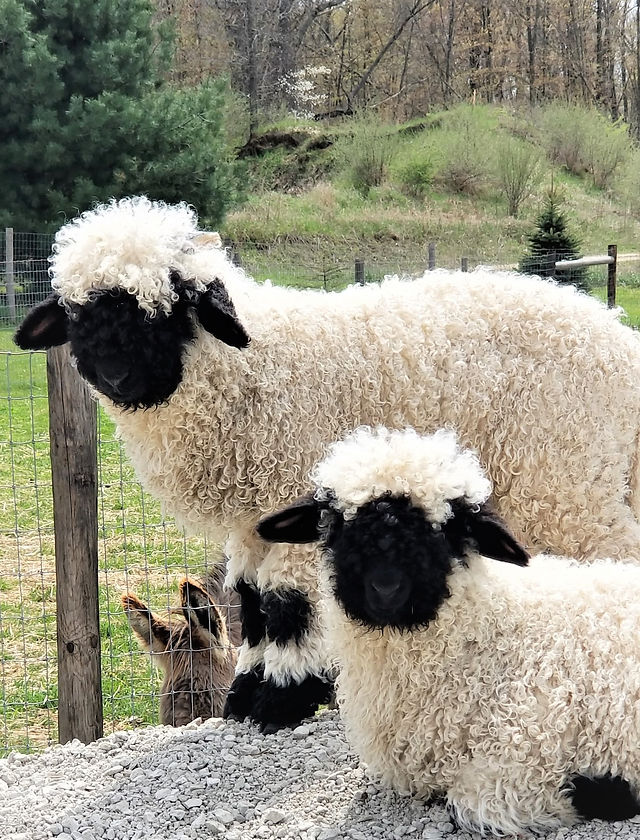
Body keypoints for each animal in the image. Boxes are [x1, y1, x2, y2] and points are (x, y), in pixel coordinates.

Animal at [257, 425, 640, 836]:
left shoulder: (521, 753)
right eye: (338, 523)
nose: (386, 588)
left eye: (448, 529)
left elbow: (472, 807)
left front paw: (601, 793)